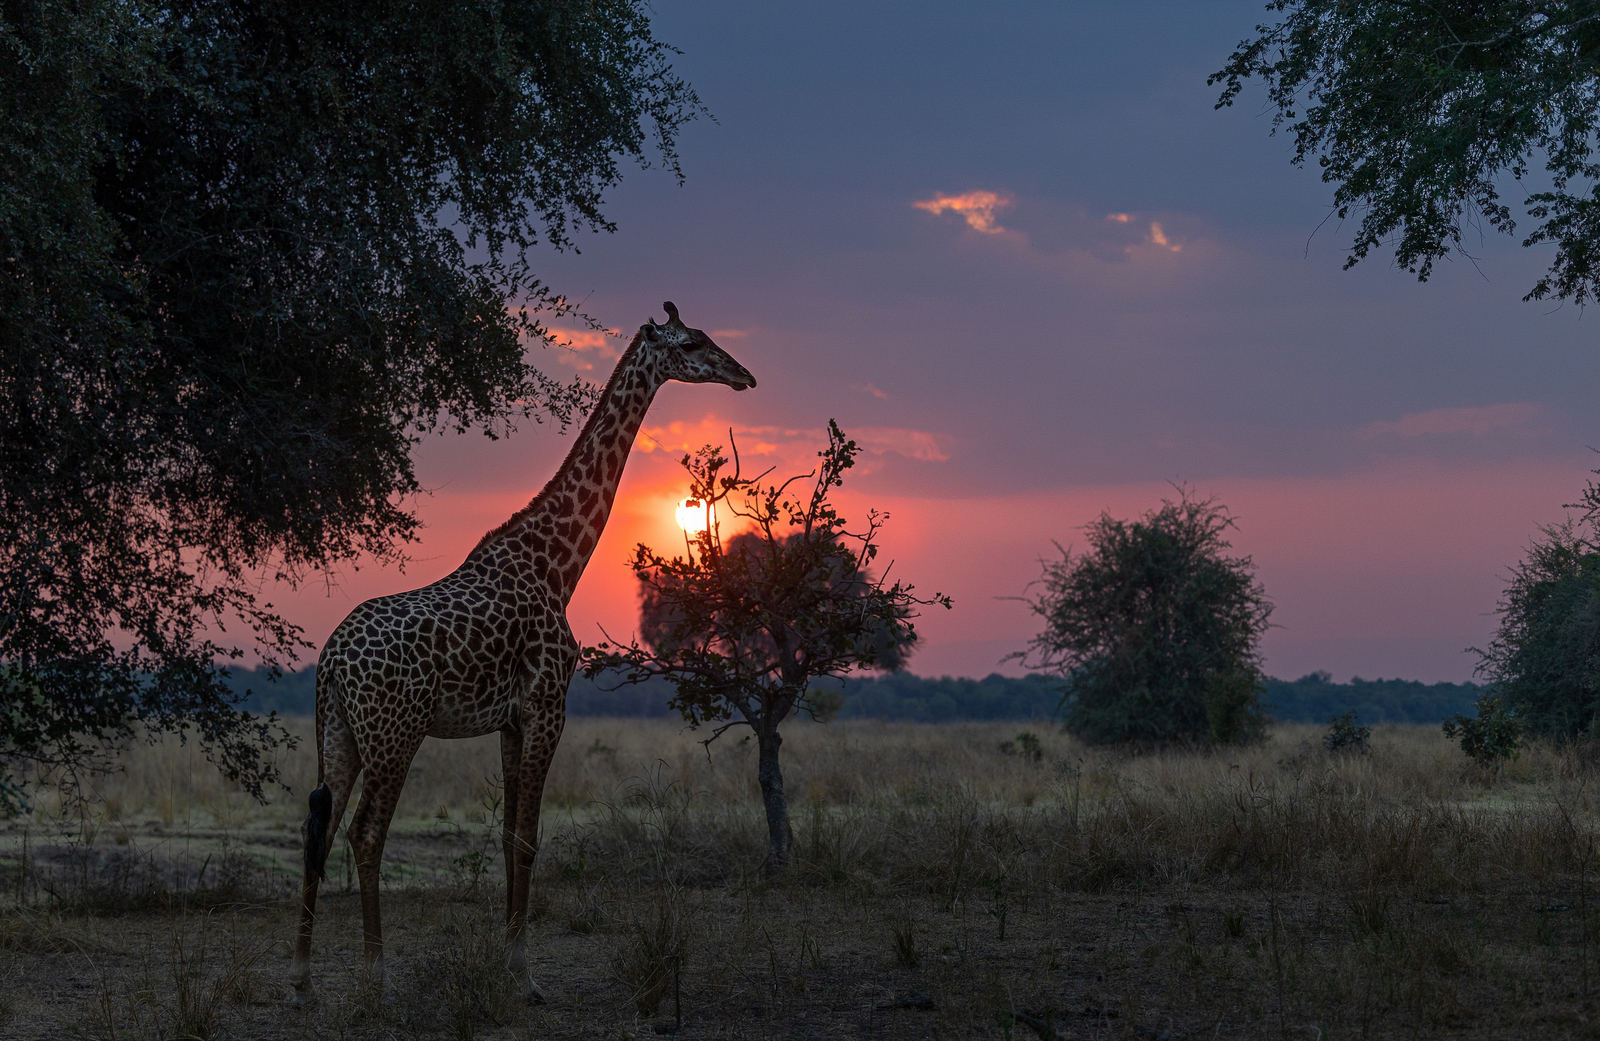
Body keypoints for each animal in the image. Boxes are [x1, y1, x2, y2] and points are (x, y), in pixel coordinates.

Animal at [289, 303, 755, 1005]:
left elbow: (510, 838)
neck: (557, 565)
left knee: (317, 826)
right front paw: (526, 977)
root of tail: (331, 663)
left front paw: (512, 964)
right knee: (366, 833)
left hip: (338, 732)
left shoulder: (510, 720)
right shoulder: (547, 706)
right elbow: (531, 840)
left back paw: (302, 979)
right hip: (395, 733)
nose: (743, 375)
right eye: (695, 342)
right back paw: (376, 977)